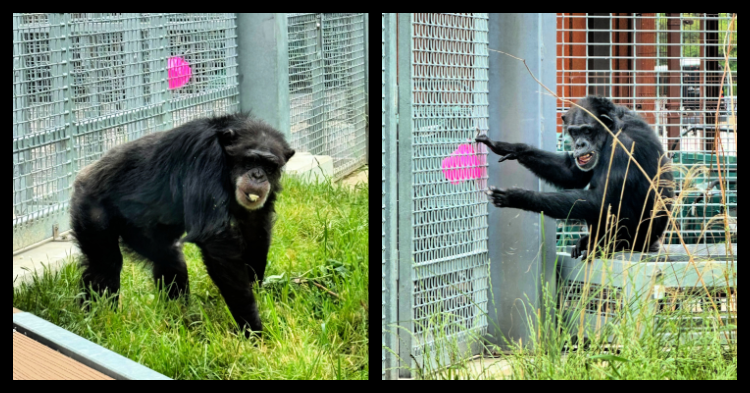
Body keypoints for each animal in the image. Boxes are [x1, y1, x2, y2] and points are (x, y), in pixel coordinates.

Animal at [70, 112, 294, 336]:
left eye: (269, 166)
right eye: (250, 160)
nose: (258, 175)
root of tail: (84, 173)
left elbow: (254, 225)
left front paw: (257, 291)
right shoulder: (205, 152)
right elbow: (215, 239)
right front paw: (253, 329)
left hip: (141, 231)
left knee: (171, 261)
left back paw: (180, 319)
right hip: (90, 207)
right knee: (105, 267)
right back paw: (99, 320)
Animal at [476, 95, 676, 258]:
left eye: (587, 130)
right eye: (574, 131)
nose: (579, 144)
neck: (612, 131)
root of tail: (652, 245)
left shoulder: (623, 148)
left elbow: (602, 201)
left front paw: (517, 196)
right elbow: (572, 173)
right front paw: (509, 147)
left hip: (634, 241)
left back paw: (599, 247)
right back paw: (585, 242)